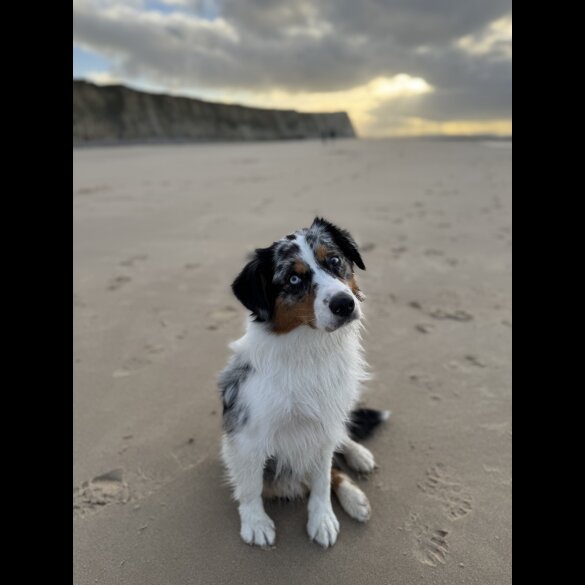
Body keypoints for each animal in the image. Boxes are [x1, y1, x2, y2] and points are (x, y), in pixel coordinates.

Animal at [219, 216, 388, 548]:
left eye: (334, 260)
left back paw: (356, 475)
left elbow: (322, 478)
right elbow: (250, 485)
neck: (310, 350)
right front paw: (255, 522)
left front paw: (322, 519)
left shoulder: (322, 427)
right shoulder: (246, 435)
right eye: (294, 279)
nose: (344, 304)